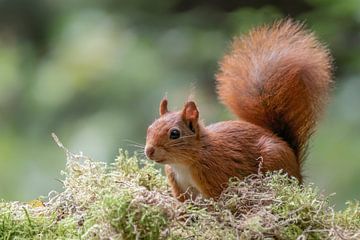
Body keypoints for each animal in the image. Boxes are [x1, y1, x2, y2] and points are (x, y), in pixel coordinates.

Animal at [143, 19, 332, 202]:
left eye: (175, 134)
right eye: (149, 128)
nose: (149, 151)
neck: (184, 163)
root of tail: (296, 166)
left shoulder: (215, 176)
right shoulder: (179, 184)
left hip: (273, 159)